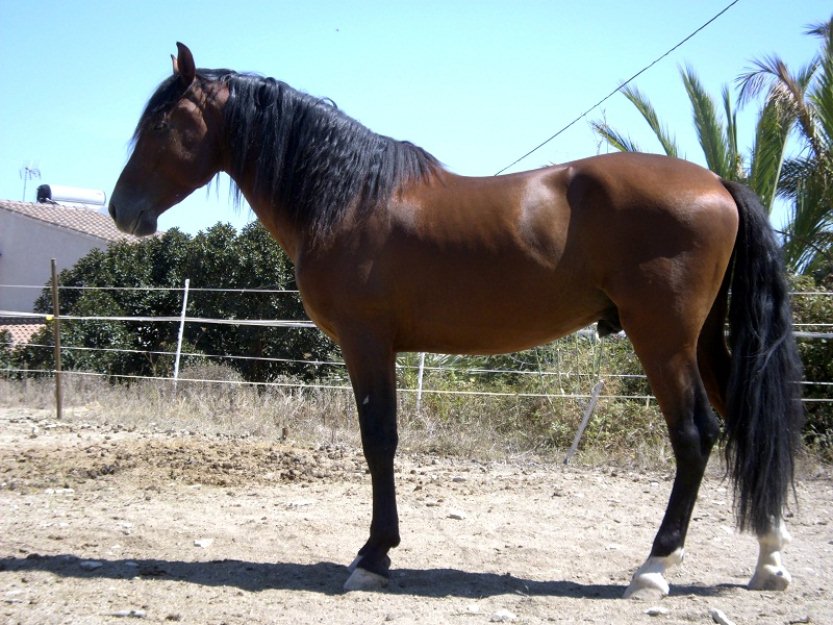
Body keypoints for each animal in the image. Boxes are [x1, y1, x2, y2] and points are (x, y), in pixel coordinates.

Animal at [107, 41, 804, 596]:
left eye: (164, 122)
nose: (120, 210)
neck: (348, 199)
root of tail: (716, 182)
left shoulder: (366, 343)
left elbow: (379, 440)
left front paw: (373, 556)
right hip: (704, 341)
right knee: (746, 425)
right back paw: (769, 561)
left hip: (662, 339)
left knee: (695, 435)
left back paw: (654, 569)